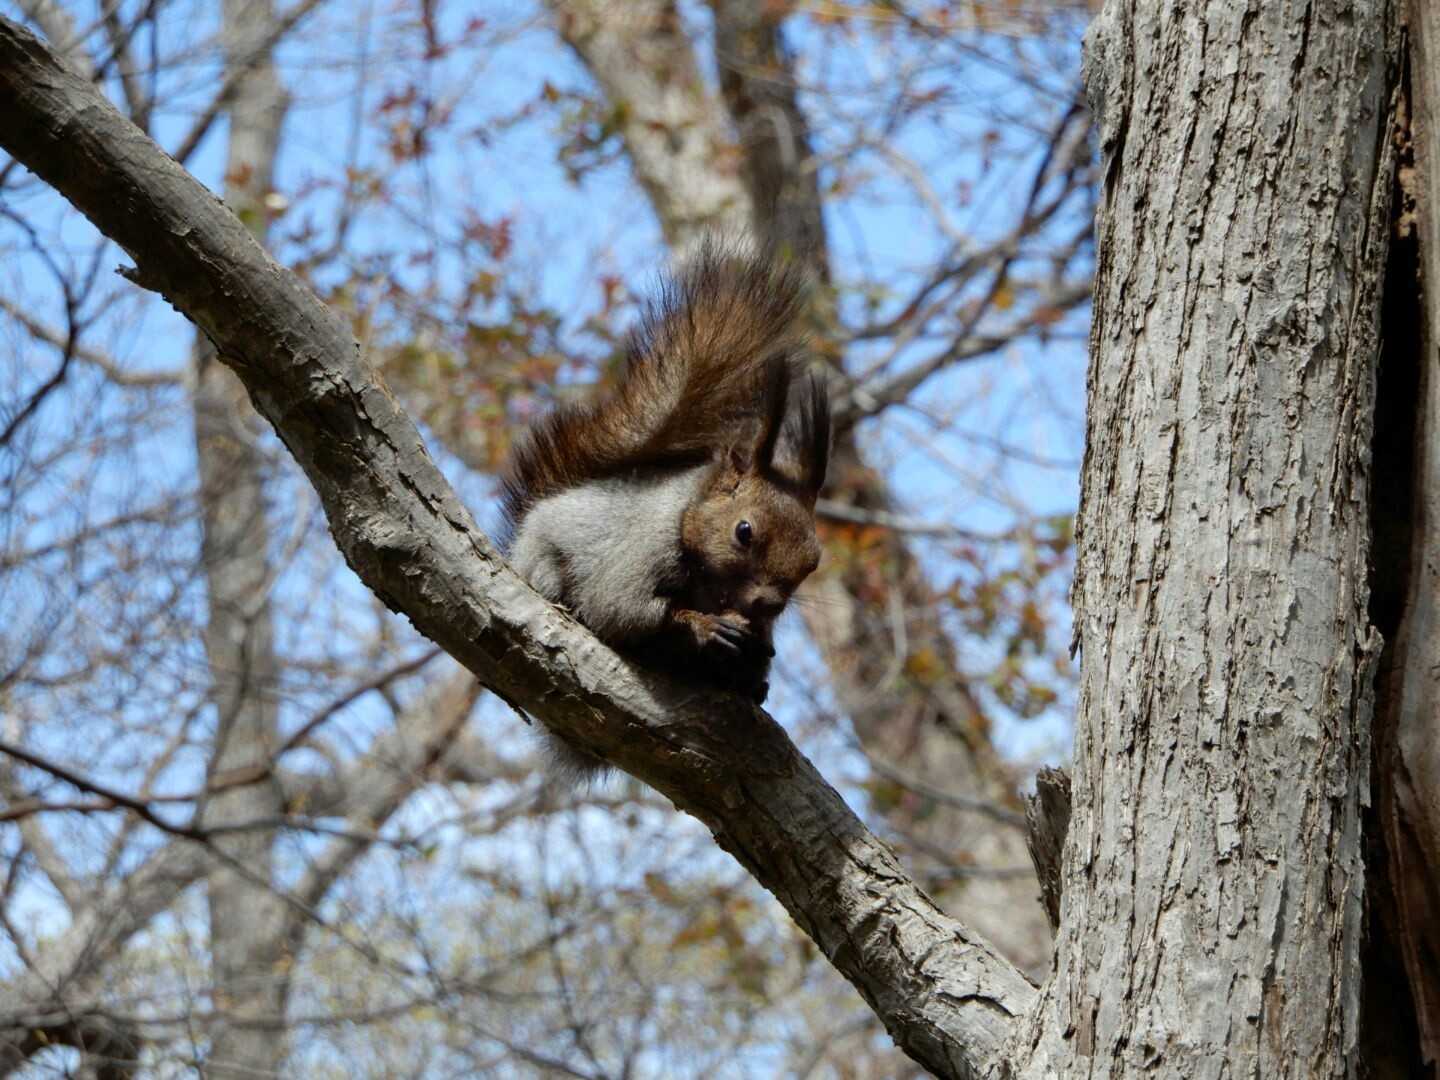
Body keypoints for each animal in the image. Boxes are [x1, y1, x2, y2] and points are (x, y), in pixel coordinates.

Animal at [501, 242, 831, 779]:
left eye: (814, 561)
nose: (768, 604)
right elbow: (621, 609)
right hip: (544, 562)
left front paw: (754, 657)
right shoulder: (641, 551)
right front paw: (702, 625)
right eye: (744, 531)